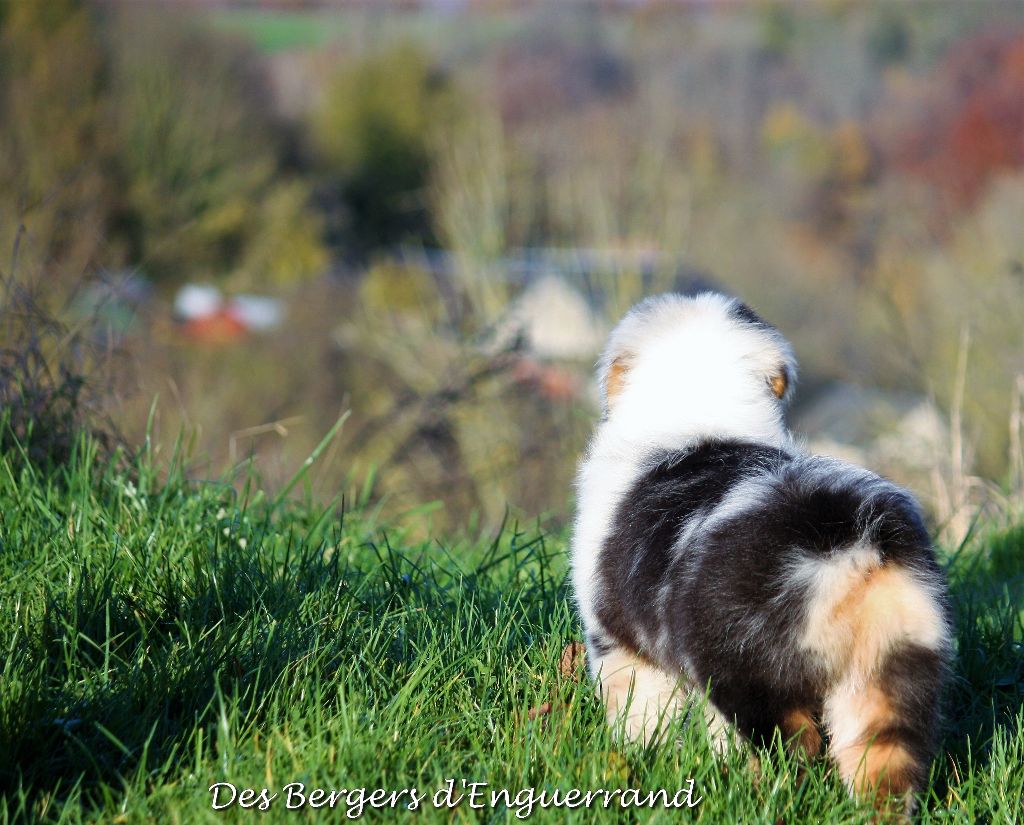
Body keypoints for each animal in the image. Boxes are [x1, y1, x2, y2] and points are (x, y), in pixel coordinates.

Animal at [571, 292, 952, 812]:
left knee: (784, 751)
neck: (699, 411)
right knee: (882, 764)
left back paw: (747, 792)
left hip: (749, 673)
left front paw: (641, 754)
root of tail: (847, 545)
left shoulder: (616, 640)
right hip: (893, 661)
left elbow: (638, 711)